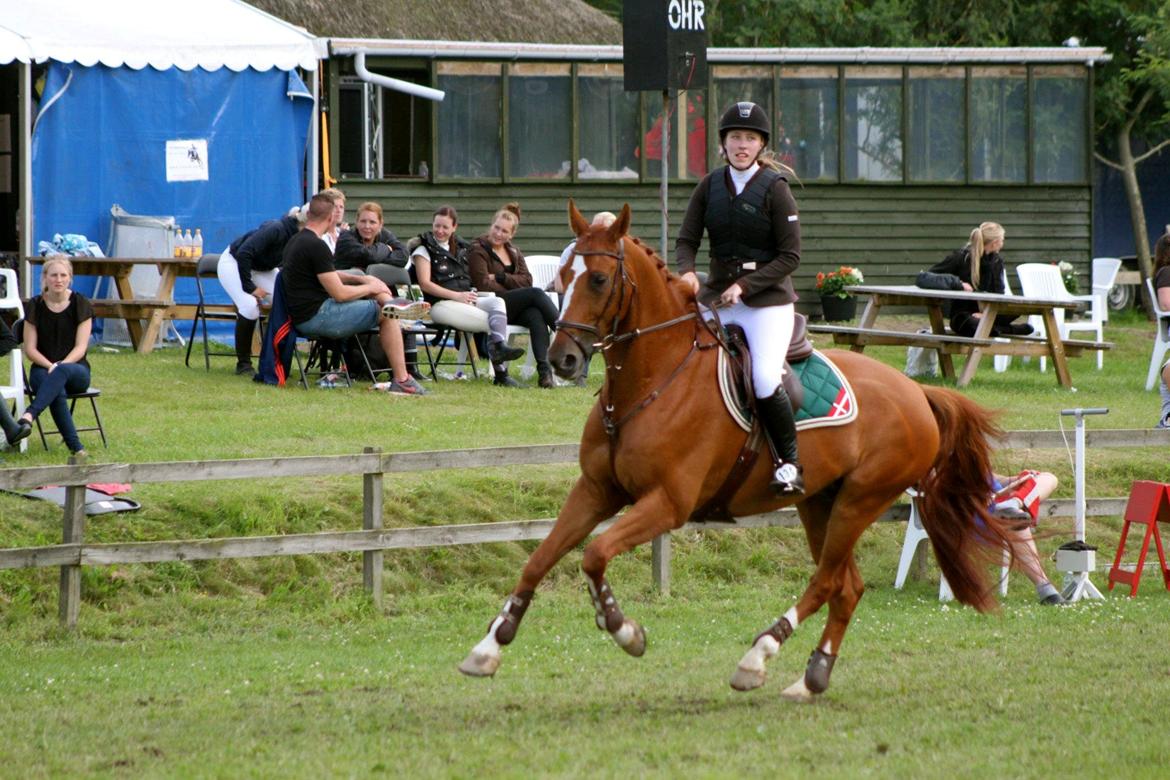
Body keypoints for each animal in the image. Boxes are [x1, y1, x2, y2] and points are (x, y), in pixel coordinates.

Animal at [458, 201, 1015, 701]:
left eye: (596, 280)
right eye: (559, 281)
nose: (563, 360)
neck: (651, 380)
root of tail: (916, 392)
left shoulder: (668, 503)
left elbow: (594, 555)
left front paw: (623, 628)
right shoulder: (596, 490)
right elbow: (539, 559)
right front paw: (488, 648)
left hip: (860, 501)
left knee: (825, 582)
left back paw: (758, 657)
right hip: (820, 502)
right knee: (846, 586)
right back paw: (811, 678)